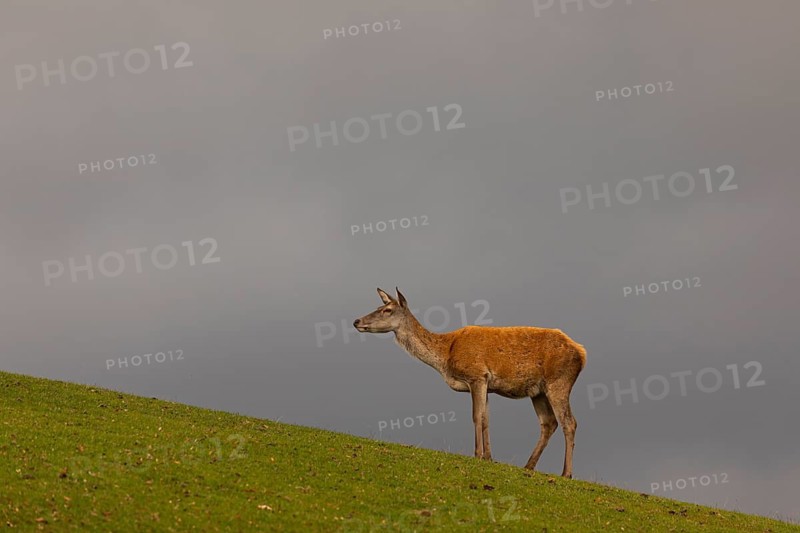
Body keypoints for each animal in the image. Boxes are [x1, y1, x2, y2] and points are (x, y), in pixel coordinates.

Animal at [353, 288, 587, 478]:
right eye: (379, 306)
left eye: (387, 310)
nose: (357, 321)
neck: (445, 356)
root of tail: (582, 354)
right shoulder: (486, 385)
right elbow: (486, 419)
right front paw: (489, 457)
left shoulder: (476, 375)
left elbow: (476, 416)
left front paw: (477, 454)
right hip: (537, 391)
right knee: (549, 423)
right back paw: (529, 466)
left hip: (559, 382)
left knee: (569, 422)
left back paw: (566, 473)